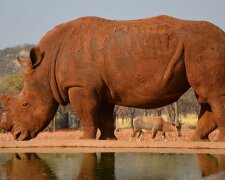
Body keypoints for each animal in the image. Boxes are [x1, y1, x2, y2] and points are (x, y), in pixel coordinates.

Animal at [0, 15, 224, 141]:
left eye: (25, 105)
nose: (17, 137)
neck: (46, 67)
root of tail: (222, 35)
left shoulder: (80, 86)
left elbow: (86, 114)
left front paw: (85, 140)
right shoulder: (101, 89)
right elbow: (105, 117)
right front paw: (108, 140)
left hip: (203, 46)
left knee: (213, 96)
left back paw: (216, 142)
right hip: (196, 48)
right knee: (205, 97)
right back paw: (197, 141)